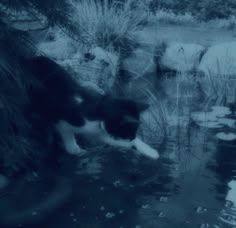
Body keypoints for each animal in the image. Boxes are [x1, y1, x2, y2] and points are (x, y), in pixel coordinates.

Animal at [24, 56, 159, 159]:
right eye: (129, 134)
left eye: (133, 135)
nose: (132, 139)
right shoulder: (61, 116)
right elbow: (66, 130)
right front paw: (73, 148)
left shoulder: (100, 131)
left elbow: (111, 139)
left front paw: (150, 151)